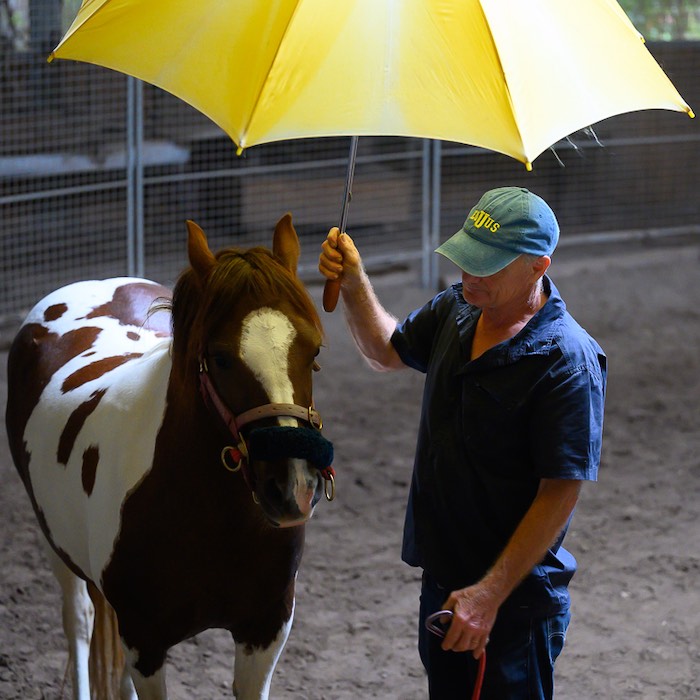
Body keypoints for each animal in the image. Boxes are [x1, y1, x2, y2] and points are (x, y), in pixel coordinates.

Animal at [4, 216, 334, 696]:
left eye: (314, 351)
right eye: (220, 357)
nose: (294, 490)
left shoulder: (265, 631)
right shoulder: (146, 641)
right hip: (56, 546)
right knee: (79, 623)